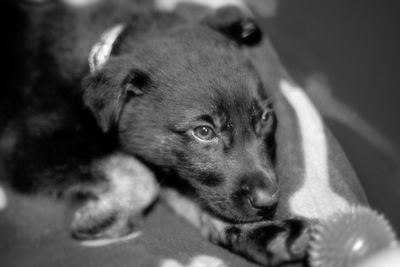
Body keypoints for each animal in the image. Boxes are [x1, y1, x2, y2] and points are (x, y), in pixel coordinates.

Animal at [0, 1, 308, 266]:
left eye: (265, 118)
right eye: (204, 132)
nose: (269, 203)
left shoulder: (175, 166)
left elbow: (192, 195)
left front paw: (266, 234)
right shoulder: (27, 146)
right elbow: (141, 177)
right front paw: (101, 218)